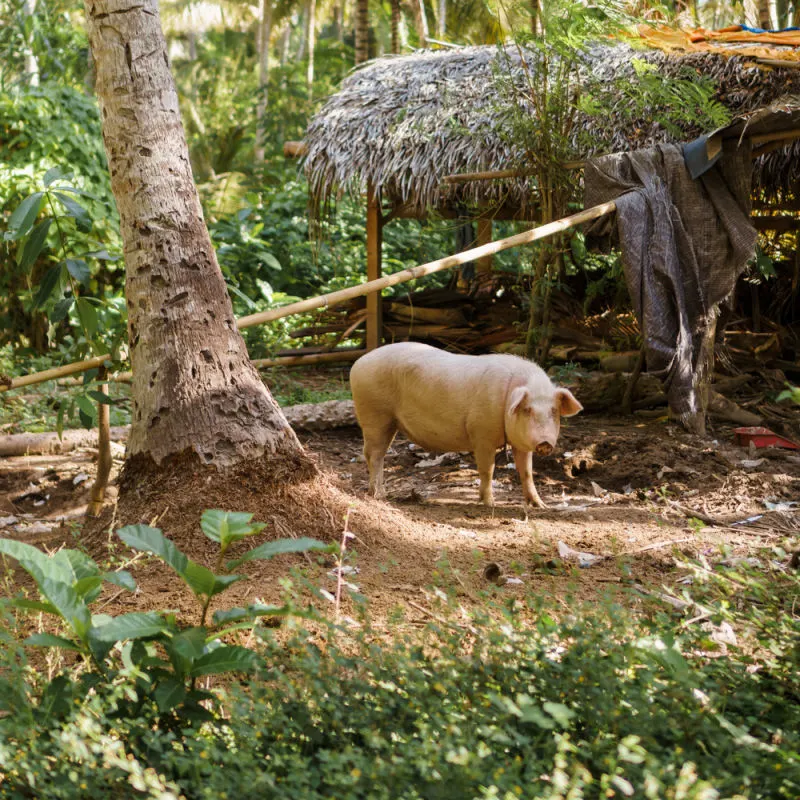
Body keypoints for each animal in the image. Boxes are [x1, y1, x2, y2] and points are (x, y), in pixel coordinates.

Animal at [350, 342, 580, 506]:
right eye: (527, 410)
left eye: (553, 411)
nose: (545, 443)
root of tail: (358, 363)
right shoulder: (481, 434)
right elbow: (487, 469)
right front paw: (489, 504)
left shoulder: (520, 443)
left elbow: (527, 472)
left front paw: (540, 506)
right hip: (375, 414)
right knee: (373, 454)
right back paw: (379, 495)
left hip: (387, 420)